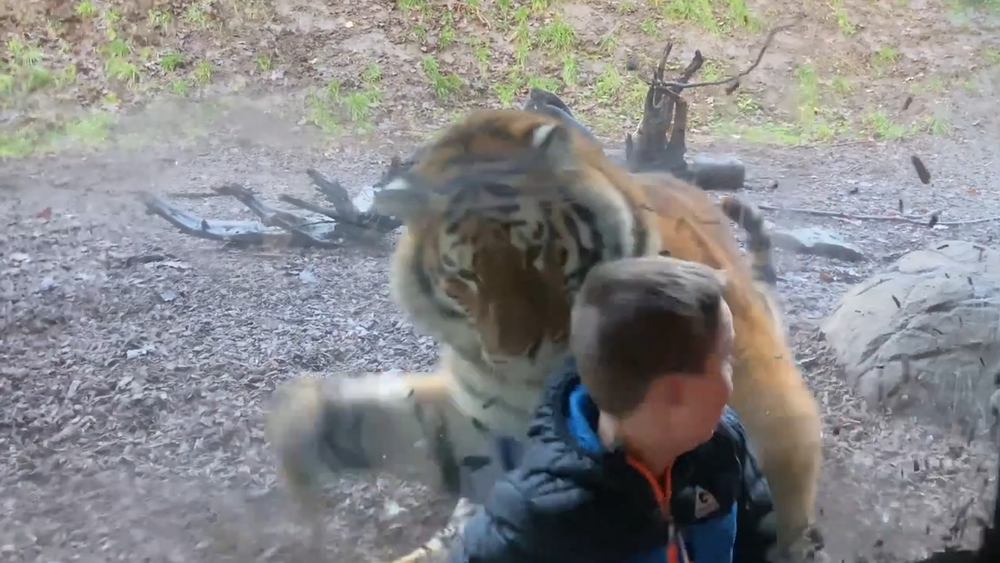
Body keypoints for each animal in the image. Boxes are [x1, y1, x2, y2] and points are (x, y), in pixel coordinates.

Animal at [264, 108, 825, 563]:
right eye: (464, 276)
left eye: (535, 252)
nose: (513, 353)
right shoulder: (492, 427)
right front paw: (306, 425)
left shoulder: (759, 405)